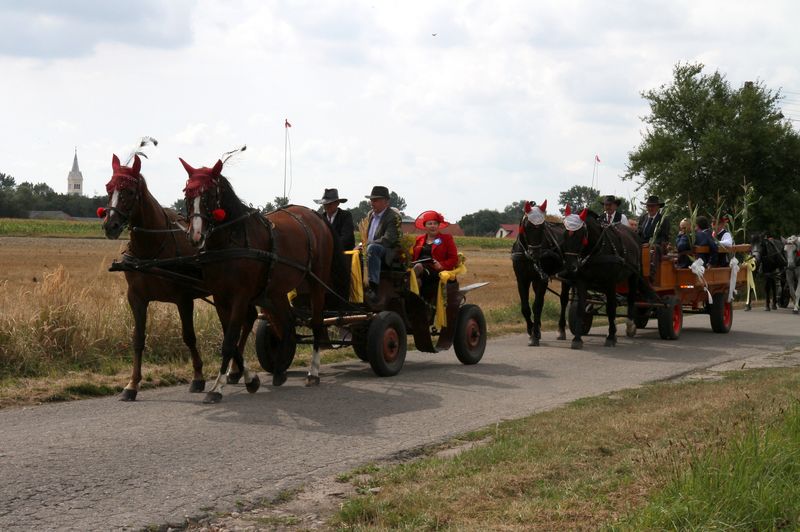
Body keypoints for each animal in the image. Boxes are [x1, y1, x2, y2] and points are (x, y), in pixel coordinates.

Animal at [181, 158, 344, 404]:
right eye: (188, 195)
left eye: (209, 195)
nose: (195, 236)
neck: (231, 243)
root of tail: (317, 217)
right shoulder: (220, 296)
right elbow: (230, 339)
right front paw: (249, 379)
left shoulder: (240, 296)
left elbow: (229, 342)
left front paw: (217, 388)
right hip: (277, 290)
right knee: (287, 322)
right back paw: (278, 372)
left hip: (317, 282)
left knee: (316, 323)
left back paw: (313, 373)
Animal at [512, 200, 568, 344]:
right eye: (527, 226)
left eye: (542, 227)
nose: (536, 253)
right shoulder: (522, 280)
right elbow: (525, 307)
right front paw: (531, 329)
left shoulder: (542, 279)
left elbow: (537, 306)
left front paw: (534, 334)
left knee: (564, 300)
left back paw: (561, 329)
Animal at [560, 207, 640, 350]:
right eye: (564, 234)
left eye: (580, 235)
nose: (570, 267)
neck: (596, 250)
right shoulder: (582, 281)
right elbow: (581, 307)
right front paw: (577, 339)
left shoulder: (610, 282)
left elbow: (611, 308)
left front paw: (611, 337)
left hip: (633, 275)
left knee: (631, 298)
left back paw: (630, 326)